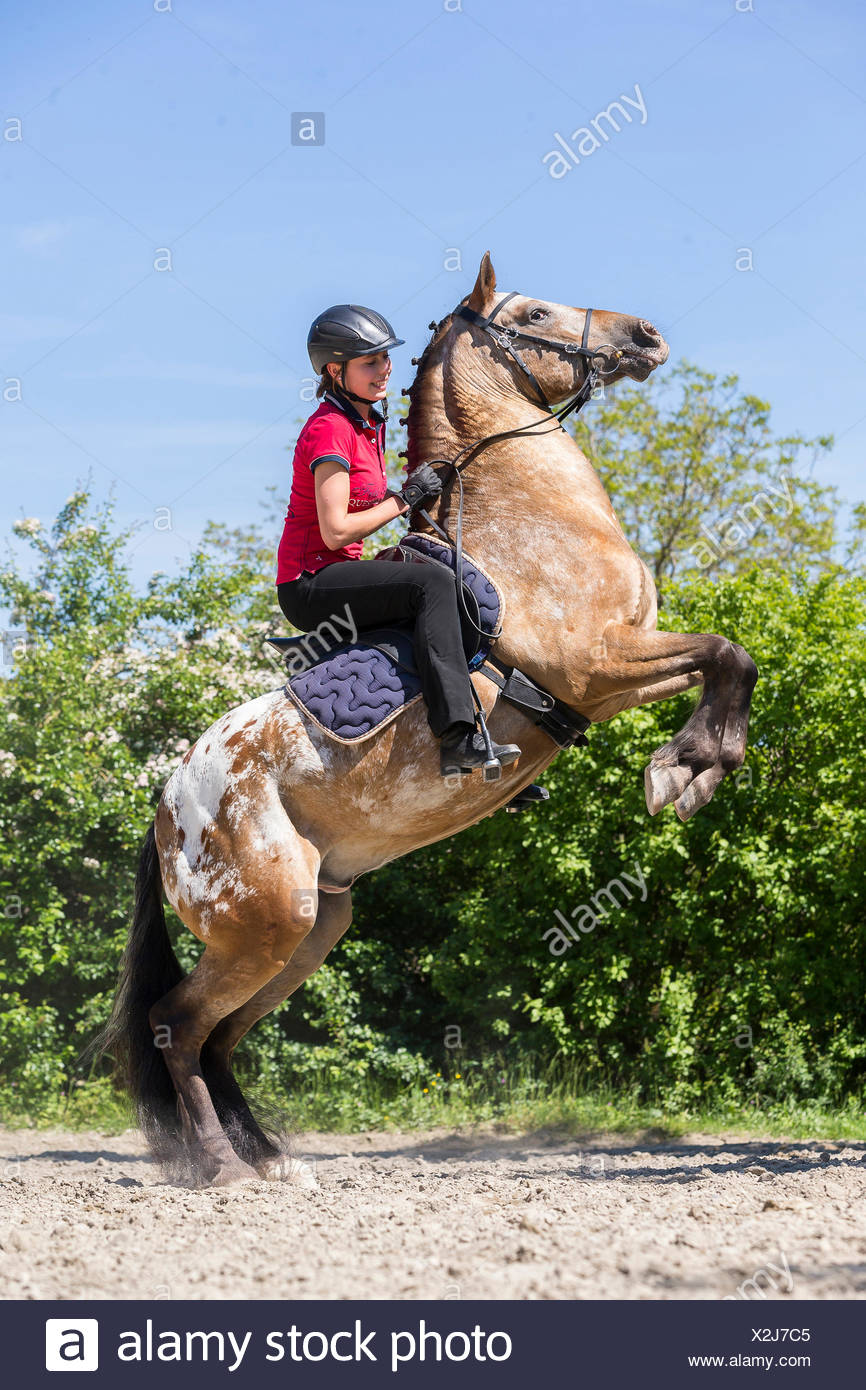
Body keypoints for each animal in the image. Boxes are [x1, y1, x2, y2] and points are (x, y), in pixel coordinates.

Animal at [94, 252, 757, 1187]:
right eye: (534, 311)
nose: (647, 334)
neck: (527, 516)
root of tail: (163, 807)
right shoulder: (598, 664)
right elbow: (726, 652)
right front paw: (684, 770)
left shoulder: (620, 670)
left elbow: (731, 658)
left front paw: (697, 766)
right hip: (268, 922)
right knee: (177, 1027)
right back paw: (224, 1168)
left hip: (310, 926)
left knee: (220, 1036)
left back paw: (273, 1161)